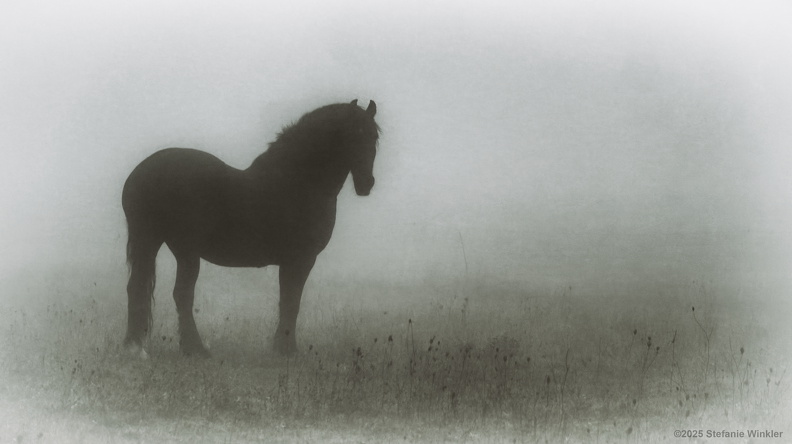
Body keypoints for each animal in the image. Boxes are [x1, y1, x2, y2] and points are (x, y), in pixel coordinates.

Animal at [121, 99, 379, 358]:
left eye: (374, 137)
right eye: (352, 135)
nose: (366, 184)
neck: (297, 181)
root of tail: (139, 173)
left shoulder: (292, 261)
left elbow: (287, 301)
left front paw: (282, 347)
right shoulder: (300, 259)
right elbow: (291, 302)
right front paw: (287, 349)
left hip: (158, 244)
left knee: (139, 288)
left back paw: (140, 346)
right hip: (183, 251)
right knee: (181, 294)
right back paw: (194, 349)